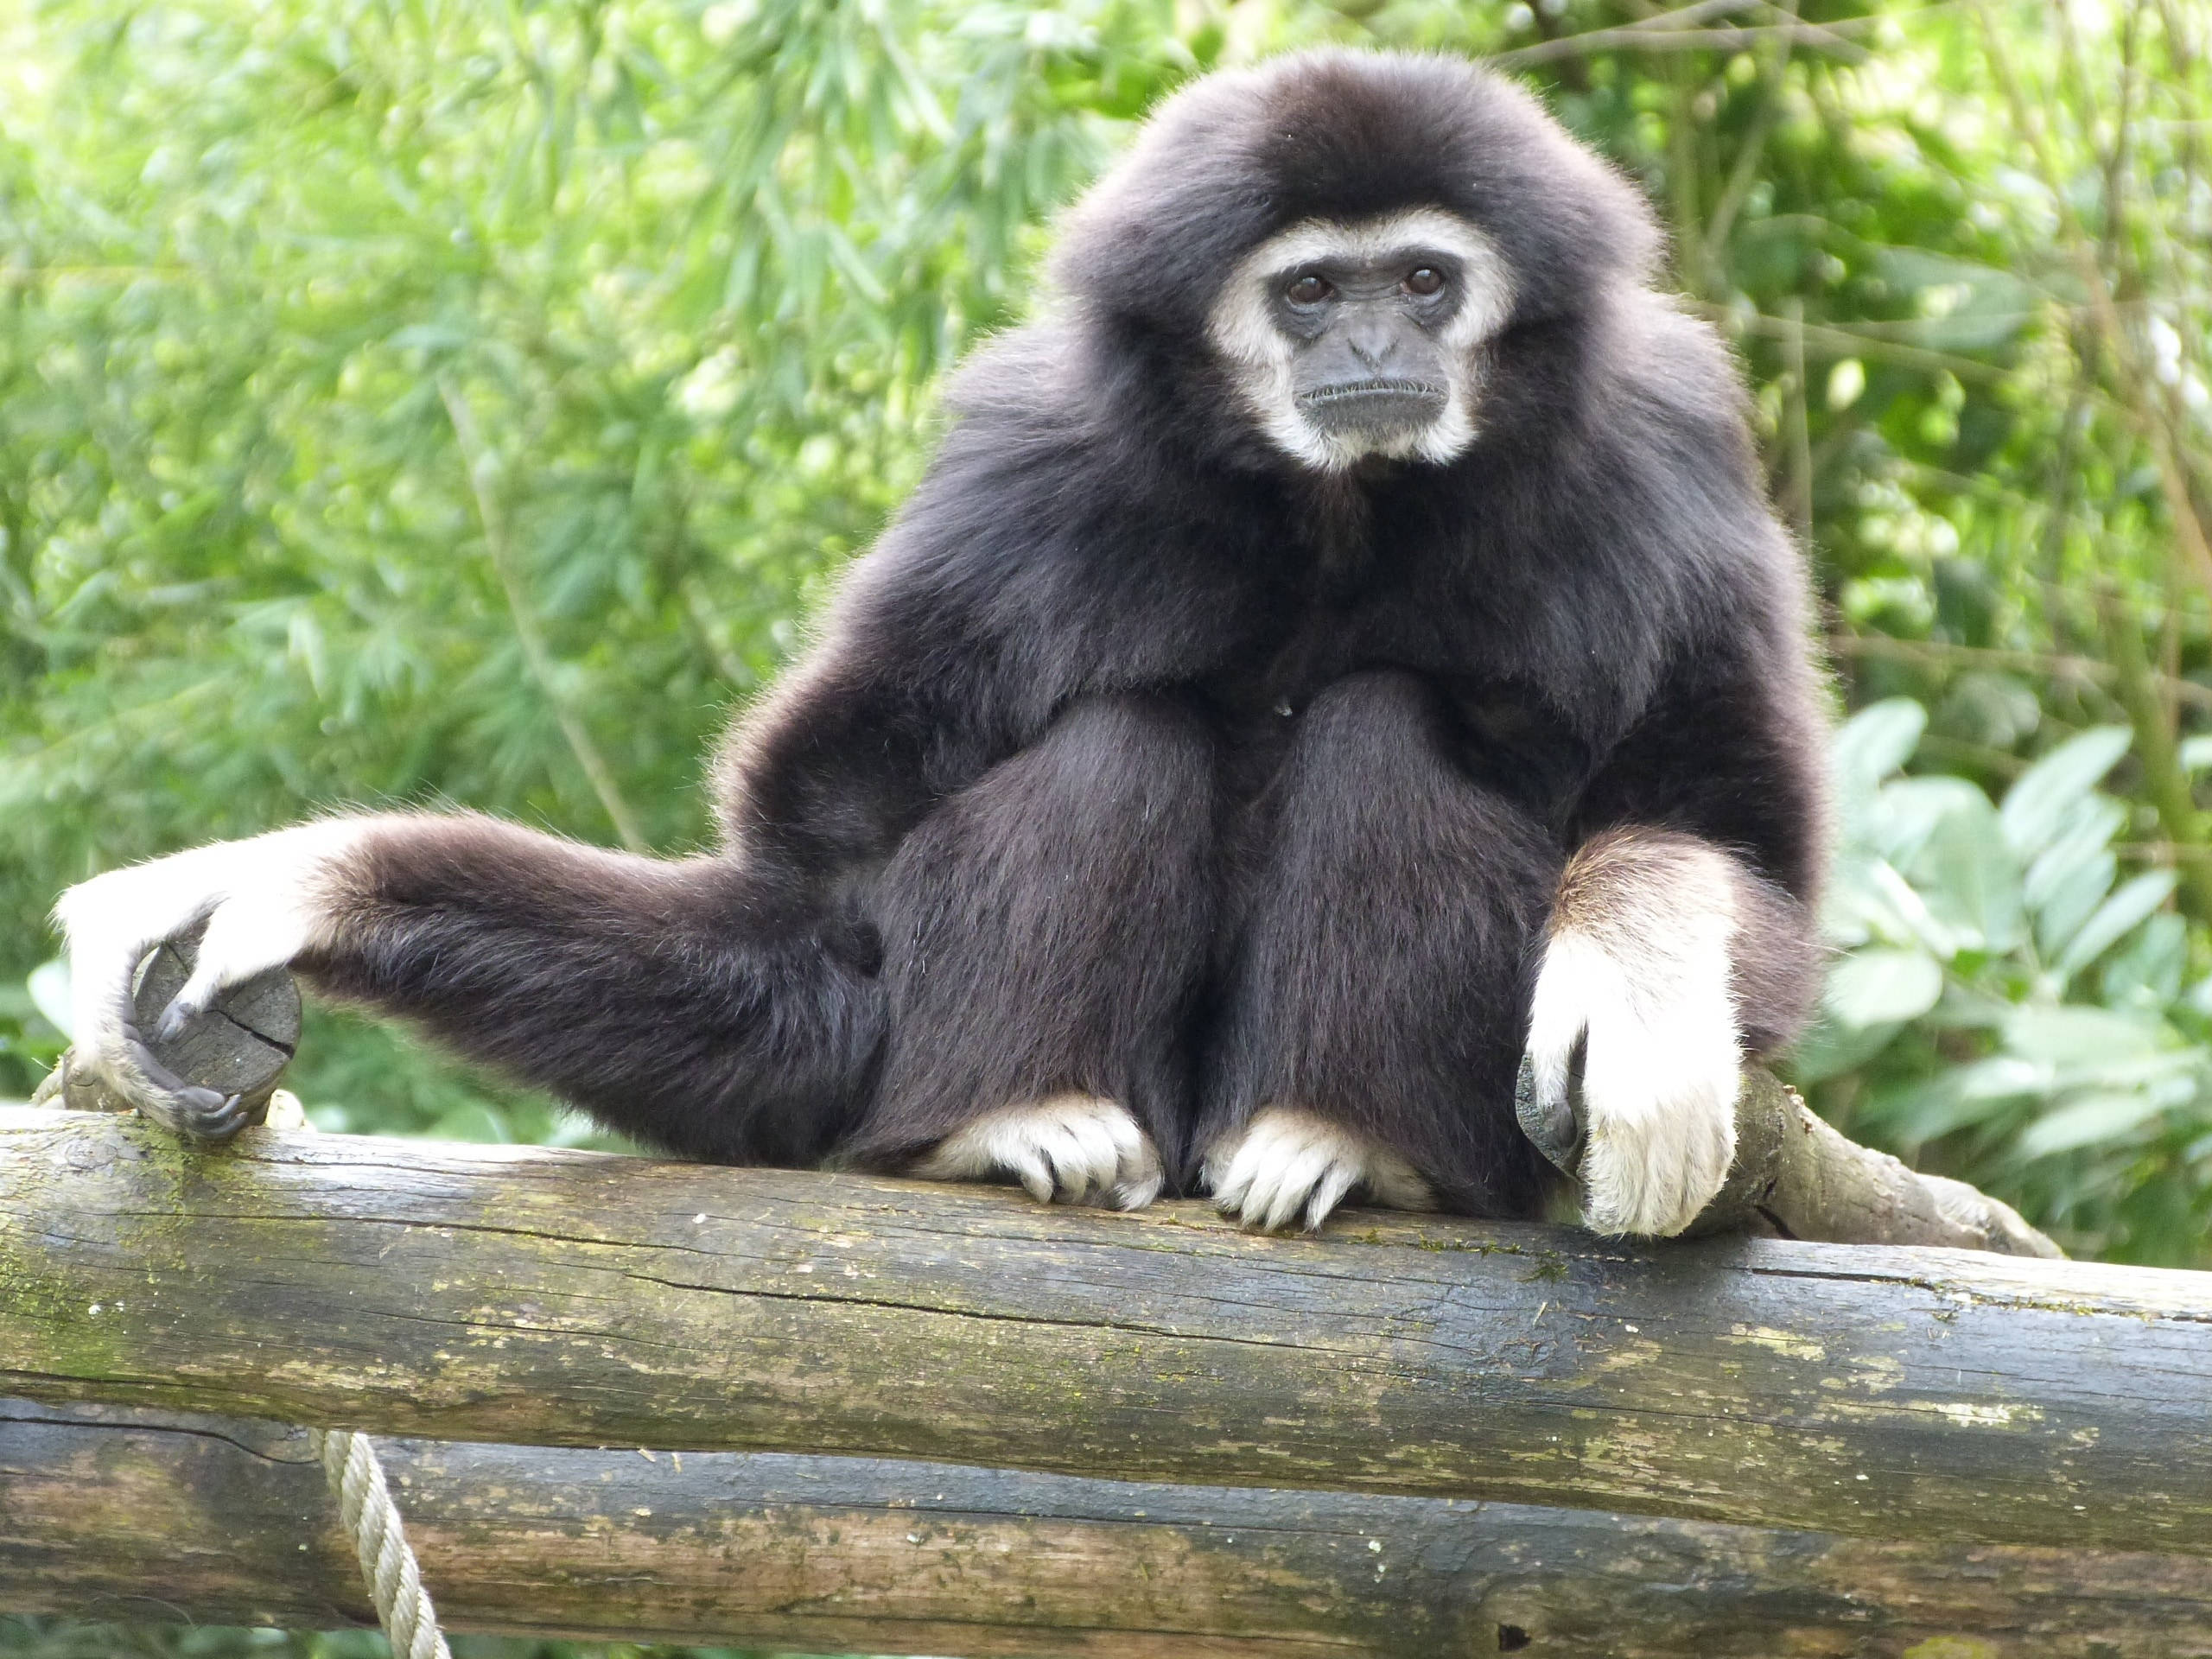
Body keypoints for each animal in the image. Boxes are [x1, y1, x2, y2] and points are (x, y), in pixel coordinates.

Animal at [56, 49, 1827, 1238]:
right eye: (1312, 293)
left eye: (1422, 277)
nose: (1373, 344)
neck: (1334, 513)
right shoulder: (1024, 469)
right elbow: (817, 904)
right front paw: (300, 879)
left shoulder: (1659, 453)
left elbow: (1736, 843)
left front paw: (1644, 979)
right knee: (1119, 736)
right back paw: (1013, 1113)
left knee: (1388, 718)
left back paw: (1345, 1136)